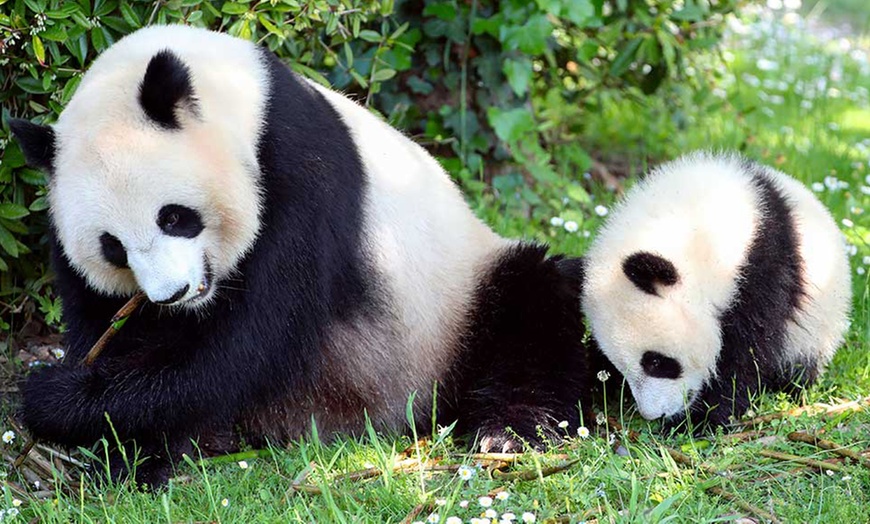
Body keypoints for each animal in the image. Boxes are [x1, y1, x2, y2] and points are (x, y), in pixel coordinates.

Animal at [8, 23, 592, 484]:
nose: (173, 294)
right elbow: (106, 321)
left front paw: (56, 399)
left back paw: (506, 432)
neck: (240, 92)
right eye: (113, 247)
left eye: (173, 216)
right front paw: (122, 446)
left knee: (539, 297)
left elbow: (250, 340)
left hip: (453, 301)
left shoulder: (300, 173)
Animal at [584, 150, 856, 426]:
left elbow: (748, 350)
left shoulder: (764, 268)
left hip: (816, 330)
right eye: (618, 365)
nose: (654, 414)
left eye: (656, 362)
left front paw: (701, 418)